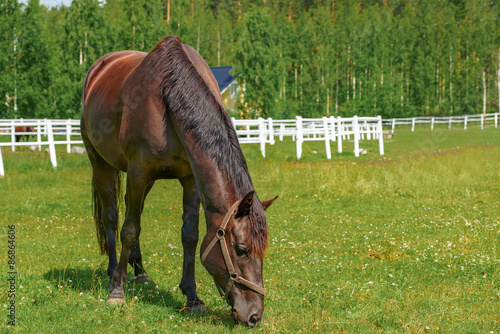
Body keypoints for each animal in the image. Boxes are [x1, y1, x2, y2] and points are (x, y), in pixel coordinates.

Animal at [81, 36, 278, 326]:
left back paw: (140, 272)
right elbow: (129, 230)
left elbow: (189, 236)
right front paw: (117, 292)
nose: (254, 315)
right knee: (112, 216)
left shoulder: (189, 179)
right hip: (100, 163)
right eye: (241, 249)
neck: (168, 94)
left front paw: (192, 297)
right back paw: (113, 271)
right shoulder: (138, 172)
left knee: (133, 210)